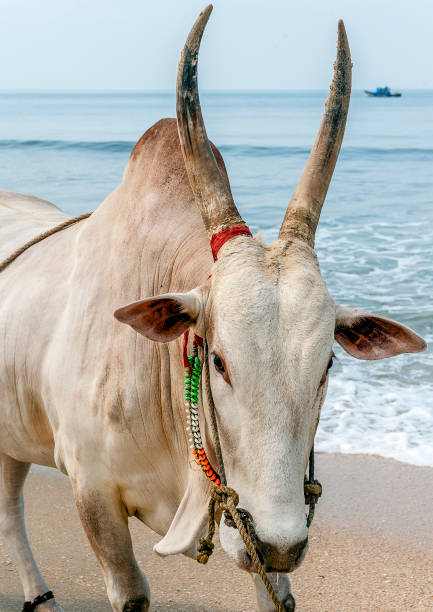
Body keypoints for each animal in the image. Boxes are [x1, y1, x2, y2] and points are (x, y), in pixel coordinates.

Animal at [0, 5, 426, 612]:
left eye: (327, 365)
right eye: (219, 361)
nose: (282, 542)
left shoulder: (252, 534)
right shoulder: (91, 490)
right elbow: (131, 592)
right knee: (11, 512)